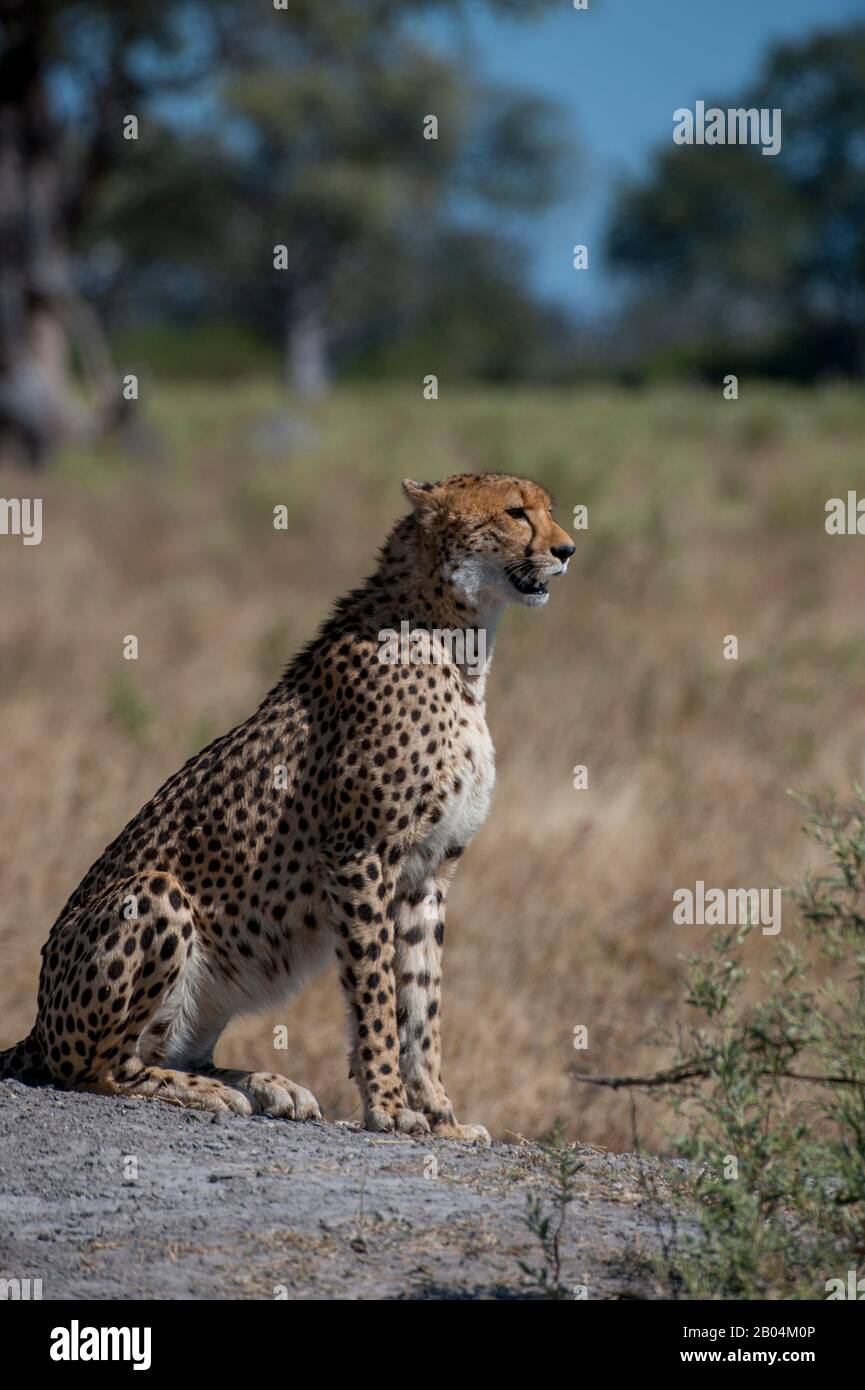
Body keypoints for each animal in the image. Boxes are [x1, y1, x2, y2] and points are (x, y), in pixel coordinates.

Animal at [0, 471, 574, 1144]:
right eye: (515, 513)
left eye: (549, 510)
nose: (566, 550)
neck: (455, 634)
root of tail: (37, 1025)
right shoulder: (360, 855)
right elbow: (377, 992)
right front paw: (388, 1107)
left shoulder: (428, 874)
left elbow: (421, 1000)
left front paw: (441, 1116)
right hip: (154, 894)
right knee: (100, 1067)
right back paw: (211, 1091)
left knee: (168, 1049)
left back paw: (267, 1083)